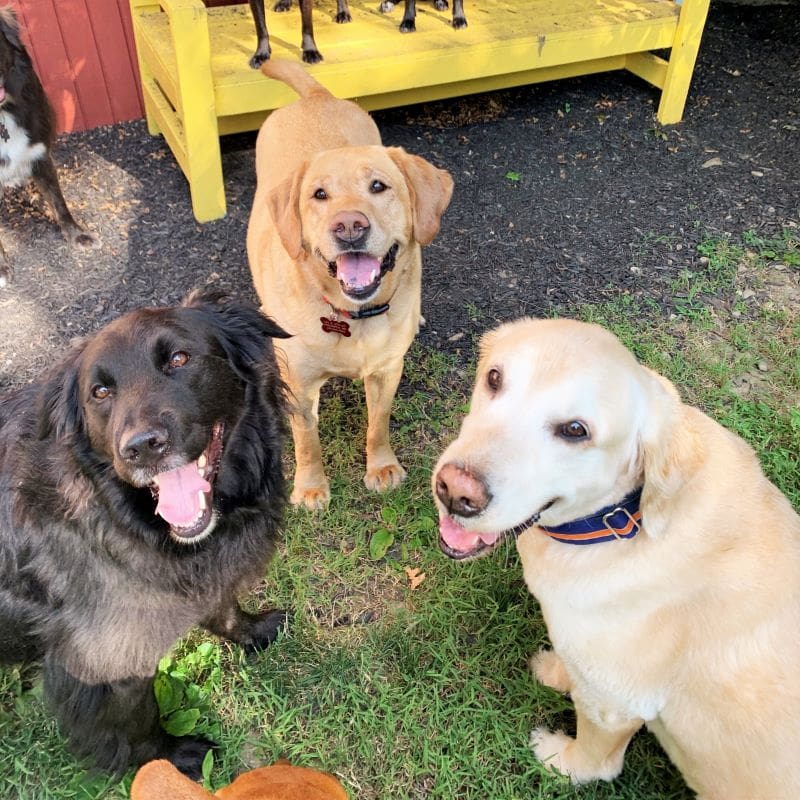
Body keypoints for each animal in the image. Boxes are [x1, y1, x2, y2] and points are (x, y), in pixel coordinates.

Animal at [0, 290, 290, 780]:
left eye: (178, 358)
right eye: (100, 392)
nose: (140, 448)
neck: (113, 513)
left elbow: (223, 605)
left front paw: (251, 630)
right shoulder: (104, 663)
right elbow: (136, 718)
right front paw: (169, 758)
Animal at [247, 61, 454, 506]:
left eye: (378, 186)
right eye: (319, 195)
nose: (349, 226)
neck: (352, 316)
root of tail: (316, 96)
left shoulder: (387, 370)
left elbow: (378, 422)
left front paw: (382, 466)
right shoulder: (301, 387)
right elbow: (307, 440)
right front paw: (310, 487)